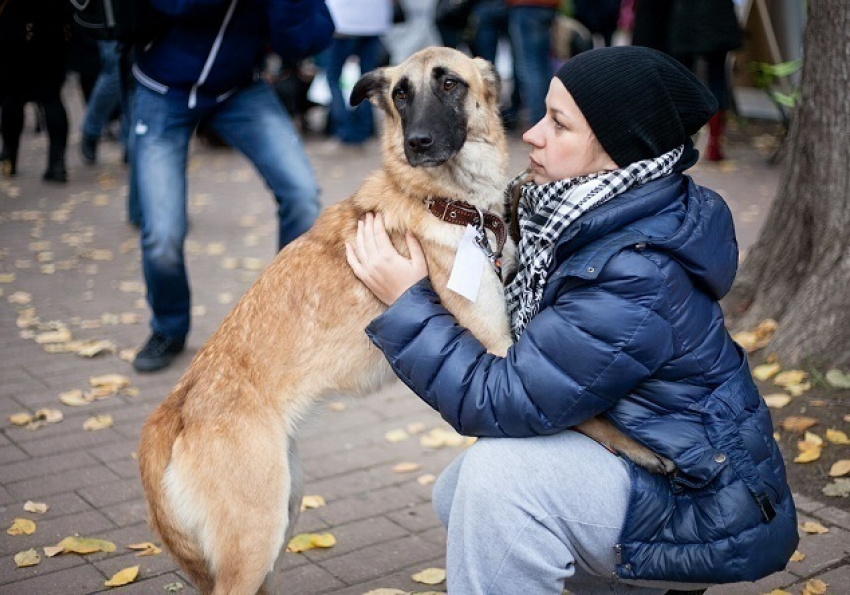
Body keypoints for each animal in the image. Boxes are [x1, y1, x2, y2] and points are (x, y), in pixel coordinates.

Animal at [137, 47, 668, 595]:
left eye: (451, 84)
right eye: (400, 95)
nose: (418, 143)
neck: (446, 202)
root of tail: (177, 405)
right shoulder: (496, 348)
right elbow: (585, 414)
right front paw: (643, 451)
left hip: (283, 513)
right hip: (256, 537)